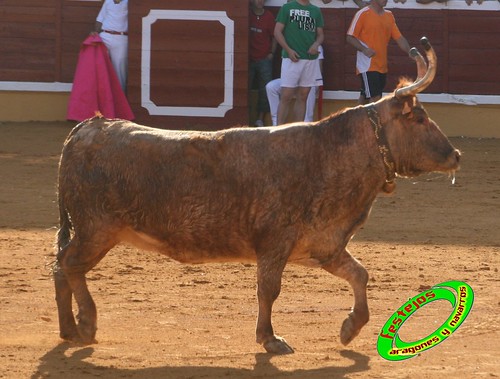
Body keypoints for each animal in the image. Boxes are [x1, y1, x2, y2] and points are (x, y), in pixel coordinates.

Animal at [54, 37, 460, 354]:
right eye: (419, 118)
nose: (456, 155)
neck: (330, 153)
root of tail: (89, 127)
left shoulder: (324, 244)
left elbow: (359, 274)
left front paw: (350, 328)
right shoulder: (275, 244)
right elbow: (269, 290)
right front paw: (270, 339)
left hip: (97, 232)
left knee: (62, 268)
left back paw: (69, 330)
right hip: (97, 229)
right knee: (69, 266)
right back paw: (85, 324)